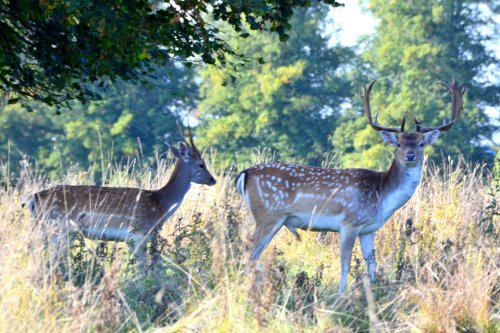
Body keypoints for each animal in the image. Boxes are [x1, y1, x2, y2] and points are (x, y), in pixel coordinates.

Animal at [27, 123, 215, 266]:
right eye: (201, 164)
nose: (213, 180)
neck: (160, 204)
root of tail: (33, 199)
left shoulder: (132, 240)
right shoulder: (139, 235)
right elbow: (143, 269)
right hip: (56, 228)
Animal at [237, 78, 464, 290]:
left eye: (421, 143)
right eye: (398, 143)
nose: (410, 155)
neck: (382, 195)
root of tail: (244, 173)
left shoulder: (369, 229)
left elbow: (372, 264)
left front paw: (374, 290)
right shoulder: (349, 222)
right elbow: (345, 263)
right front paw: (341, 294)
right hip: (268, 214)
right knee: (249, 251)